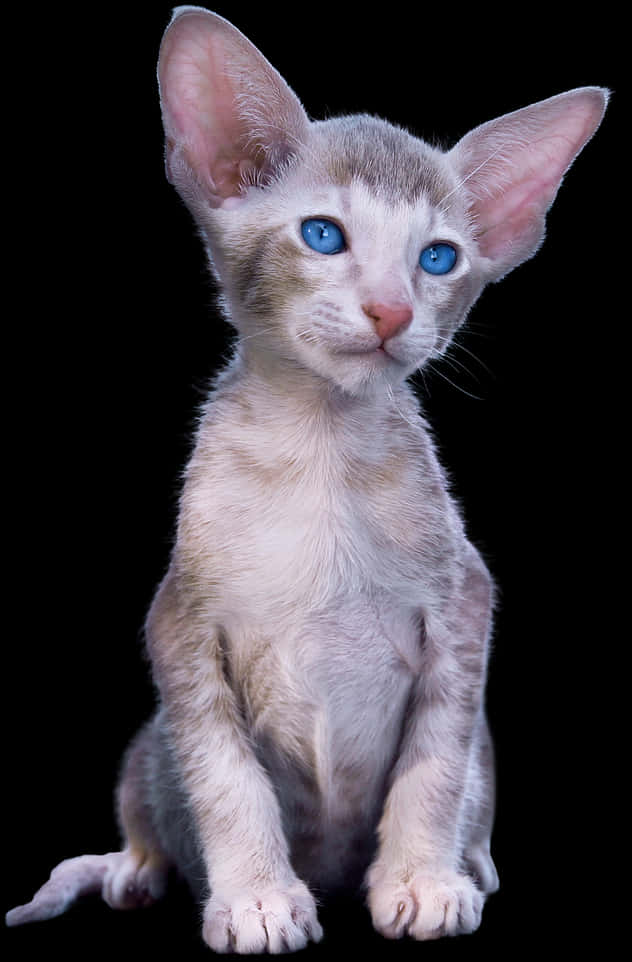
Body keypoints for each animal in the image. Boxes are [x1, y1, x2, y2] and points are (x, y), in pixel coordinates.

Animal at [4, 5, 608, 952]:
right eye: (323, 234)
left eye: (439, 258)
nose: (393, 310)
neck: (320, 449)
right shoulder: (180, 622)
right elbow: (225, 777)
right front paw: (256, 897)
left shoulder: (465, 604)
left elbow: (439, 761)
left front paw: (422, 879)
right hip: (145, 747)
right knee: (145, 793)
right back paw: (138, 868)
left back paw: (470, 861)